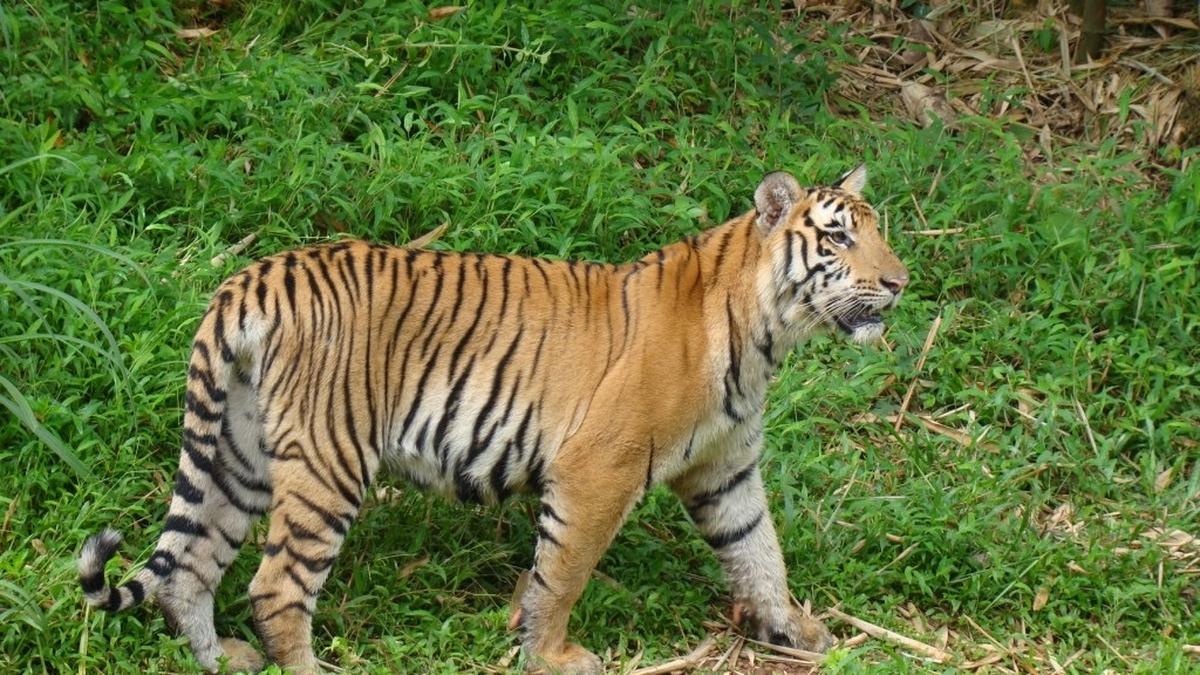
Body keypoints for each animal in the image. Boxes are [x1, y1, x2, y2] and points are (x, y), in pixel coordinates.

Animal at [78, 164, 908, 673]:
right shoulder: (598, 469)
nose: (900, 281)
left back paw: (220, 657)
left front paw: (795, 629)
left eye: (879, 230)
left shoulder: (726, 469)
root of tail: (253, 276)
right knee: (276, 584)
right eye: (838, 235)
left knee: (190, 566)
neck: (767, 333)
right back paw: (310, 665)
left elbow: (759, 552)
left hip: (240, 451)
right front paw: (550, 655)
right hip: (327, 459)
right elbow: (564, 572)